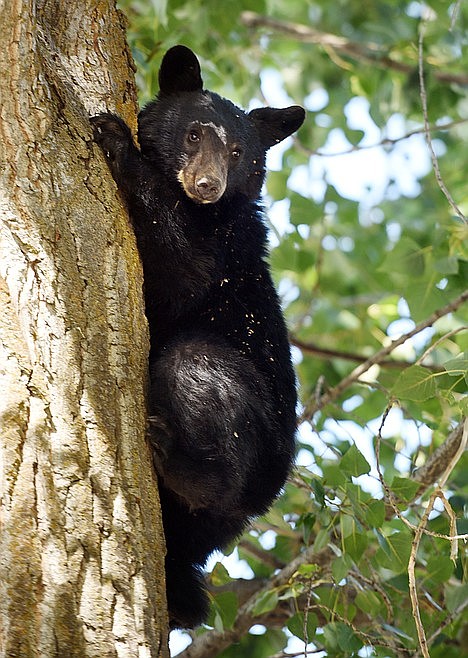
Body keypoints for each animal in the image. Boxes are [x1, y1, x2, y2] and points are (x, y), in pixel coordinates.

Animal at [91, 43, 306, 628]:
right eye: (192, 134)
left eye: (237, 151)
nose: (207, 185)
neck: (205, 212)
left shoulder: (223, 249)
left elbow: (181, 274)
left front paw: (117, 141)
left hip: (254, 442)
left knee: (194, 365)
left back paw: (178, 457)